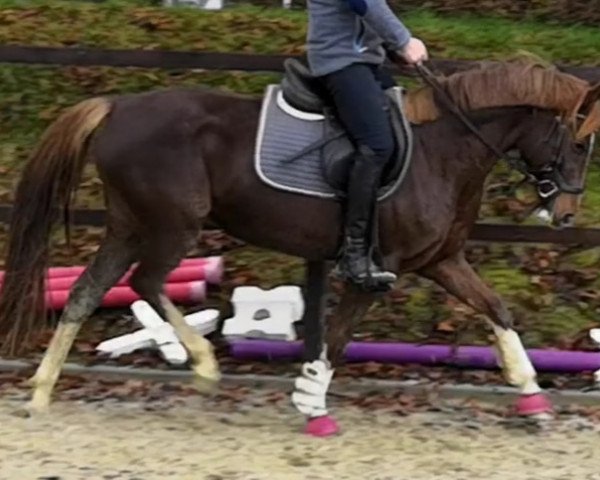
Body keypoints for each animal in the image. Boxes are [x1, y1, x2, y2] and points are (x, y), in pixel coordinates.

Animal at [0, 58, 596, 434]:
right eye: (580, 142)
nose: (565, 215)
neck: (441, 150)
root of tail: (119, 106)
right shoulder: (378, 270)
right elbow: (336, 338)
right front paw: (313, 406)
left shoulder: (442, 261)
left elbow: (497, 309)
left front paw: (533, 396)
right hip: (172, 225)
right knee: (147, 280)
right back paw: (204, 367)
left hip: (128, 226)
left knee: (87, 291)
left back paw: (41, 392)